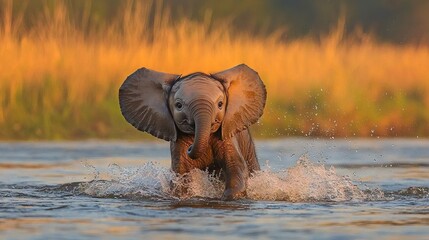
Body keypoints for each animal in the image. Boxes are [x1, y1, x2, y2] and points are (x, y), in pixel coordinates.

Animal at [118, 63, 266, 199]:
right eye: (178, 105)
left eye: (220, 104)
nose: (190, 148)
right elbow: (181, 176)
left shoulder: (227, 137)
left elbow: (237, 167)